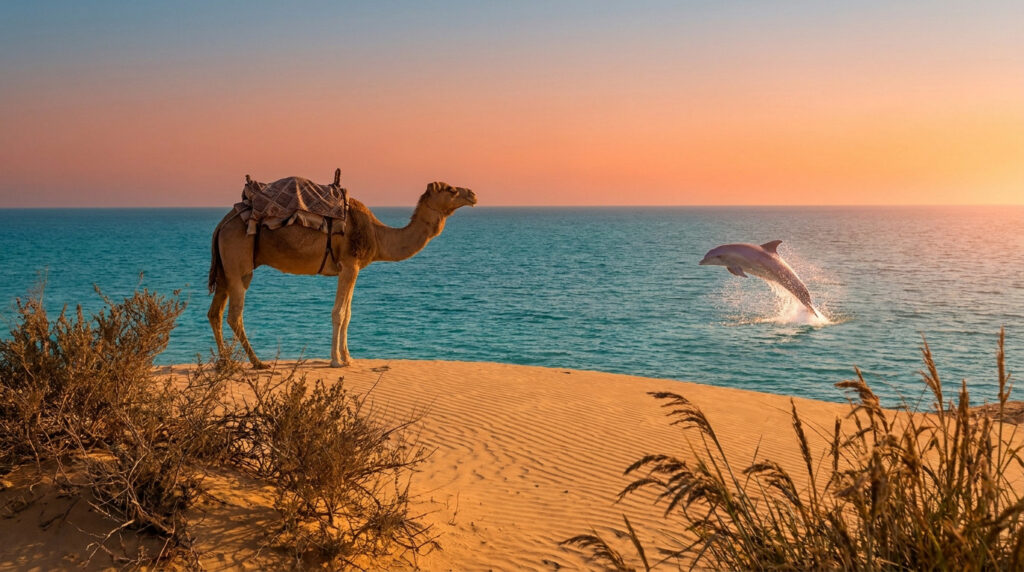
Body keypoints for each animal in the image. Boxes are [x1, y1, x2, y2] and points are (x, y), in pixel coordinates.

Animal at [207, 179, 477, 368]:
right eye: (450, 189)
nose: (472, 194)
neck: (378, 236)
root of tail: (222, 224)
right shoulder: (349, 265)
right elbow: (339, 313)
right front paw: (336, 361)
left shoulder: (352, 268)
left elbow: (348, 314)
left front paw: (349, 358)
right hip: (239, 260)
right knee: (234, 314)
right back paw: (257, 363)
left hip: (224, 269)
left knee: (215, 313)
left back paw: (226, 362)